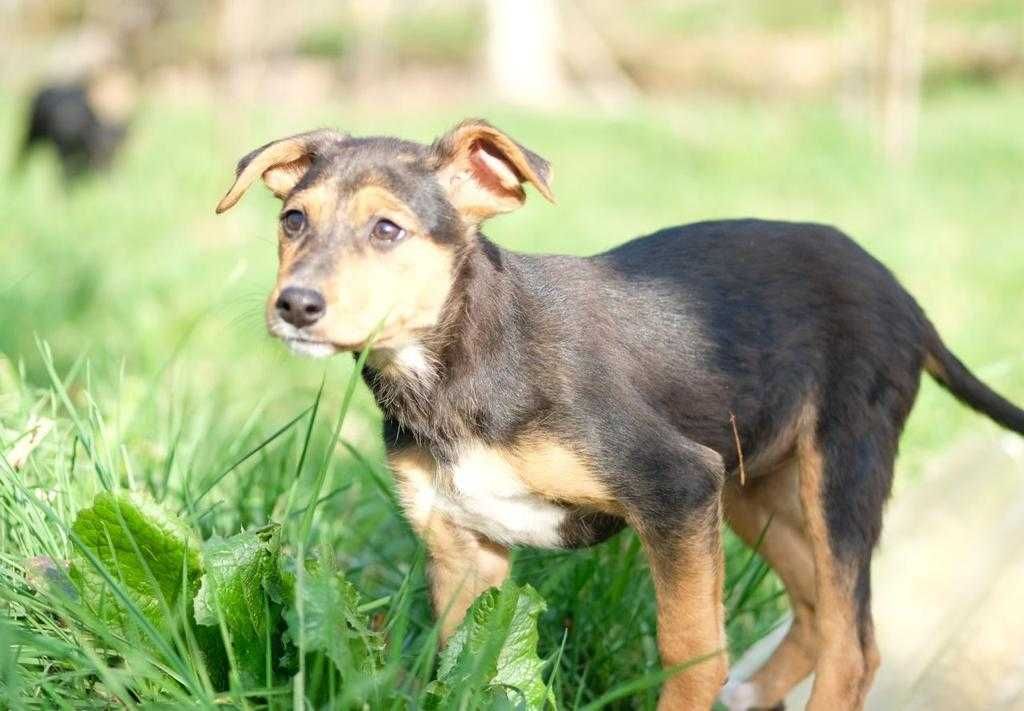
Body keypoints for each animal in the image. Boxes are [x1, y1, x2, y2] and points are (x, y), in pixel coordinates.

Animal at [218, 122, 1024, 711]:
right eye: (293, 220)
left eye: (387, 230)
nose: (295, 305)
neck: (462, 363)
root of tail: (902, 294)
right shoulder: (462, 546)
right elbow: (466, 667)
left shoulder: (676, 487)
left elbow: (689, 652)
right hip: (751, 483)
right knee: (821, 612)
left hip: (838, 468)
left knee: (853, 648)